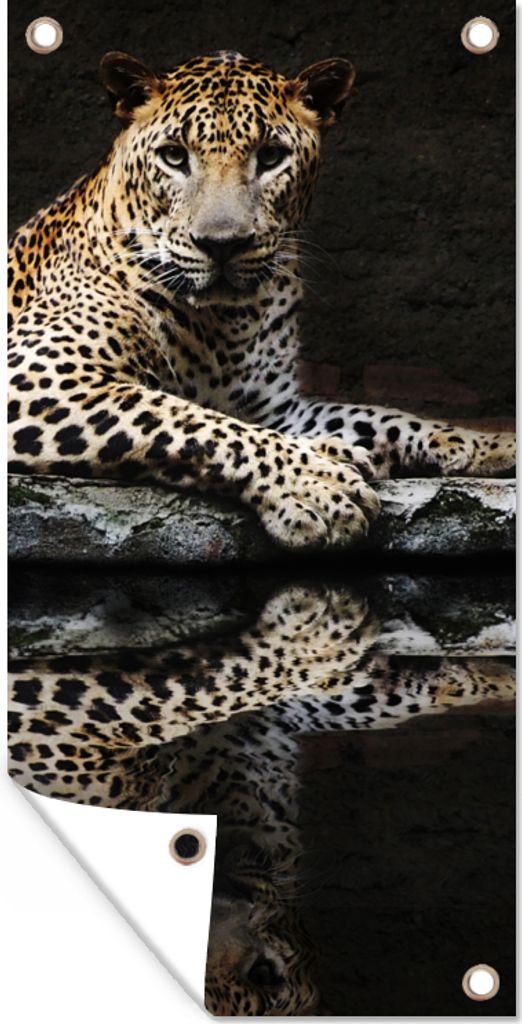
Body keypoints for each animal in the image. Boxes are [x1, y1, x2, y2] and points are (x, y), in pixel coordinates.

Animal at [8, 49, 515, 551]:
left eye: (270, 156)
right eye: (174, 156)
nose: (221, 244)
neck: (229, 320)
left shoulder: (275, 408)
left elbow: (382, 416)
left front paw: (485, 443)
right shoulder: (36, 376)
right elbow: (193, 422)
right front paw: (315, 486)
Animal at [9, 582, 515, 1015]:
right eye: (264, 975)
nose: (248, 908)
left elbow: (374, 695)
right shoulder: (56, 723)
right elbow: (189, 694)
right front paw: (316, 629)